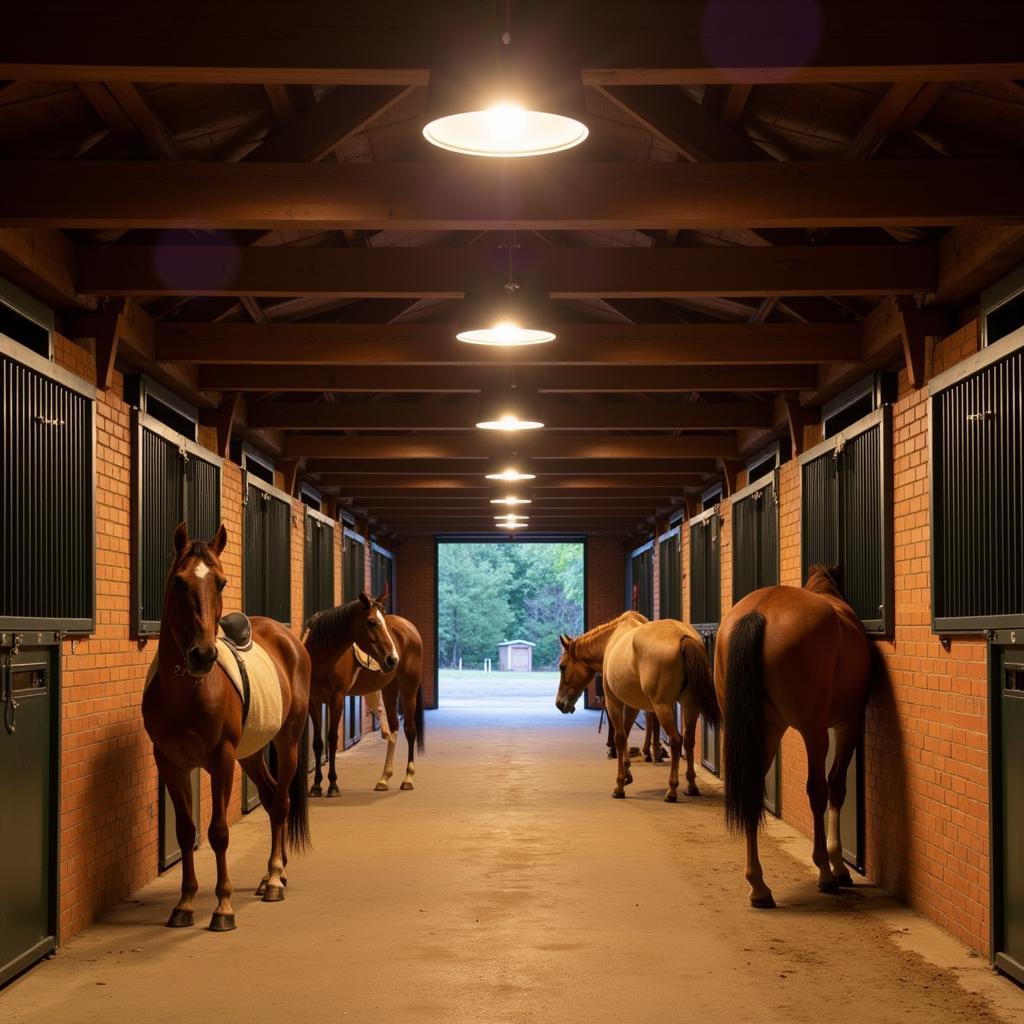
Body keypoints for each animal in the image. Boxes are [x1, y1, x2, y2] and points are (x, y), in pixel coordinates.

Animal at [139, 524, 311, 933]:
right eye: (179, 582)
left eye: (221, 582)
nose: (202, 655)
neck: (189, 689)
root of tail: (289, 639)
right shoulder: (170, 762)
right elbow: (186, 831)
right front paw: (184, 903)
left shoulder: (221, 760)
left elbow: (218, 831)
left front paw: (223, 908)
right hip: (250, 754)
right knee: (269, 797)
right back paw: (271, 875)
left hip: (287, 742)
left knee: (282, 802)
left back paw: (275, 879)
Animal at [303, 593, 423, 798]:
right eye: (371, 622)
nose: (393, 659)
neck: (322, 658)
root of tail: (410, 627)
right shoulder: (314, 702)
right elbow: (318, 743)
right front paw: (316, 785)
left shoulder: (336, 700)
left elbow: (332, 739)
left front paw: (333, 785)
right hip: (389, 690)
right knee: (393, 729)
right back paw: (384, 779)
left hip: (409, 689)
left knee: (410, 729)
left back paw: (408, 778)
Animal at [561, 610, 720, 802]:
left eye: (562, 667)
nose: (559, 703)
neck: (612, 639)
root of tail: (683, 637)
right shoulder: (632, 705)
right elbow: (626, 734)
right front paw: (627, 773)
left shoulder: (613, 701)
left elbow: (620, 738)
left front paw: (619, 785)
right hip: (690, 705)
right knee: (688, 741)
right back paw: (691, 786)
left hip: (662, 707)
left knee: (676, 740)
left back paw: (671, 790)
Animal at [712, 565, 872, 909]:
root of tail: (758, 613)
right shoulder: (848, 723)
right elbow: (836, 786)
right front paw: (838, 865)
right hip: (812, 731)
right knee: (817, 790)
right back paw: (824, 874)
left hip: (766, 729)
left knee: (753, 790)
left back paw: (758, 886)